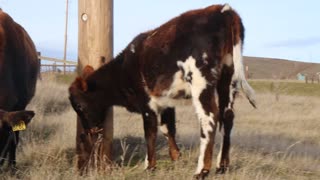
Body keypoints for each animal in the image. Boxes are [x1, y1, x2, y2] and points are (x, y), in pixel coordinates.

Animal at [69, 3, 255, 179]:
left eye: (80, 106)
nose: (89, 131)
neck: (123, 69)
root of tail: (223, 9)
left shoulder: (146, 102)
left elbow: (150, 132)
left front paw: (149, 167)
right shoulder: (166, 100)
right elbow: (167, 128)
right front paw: (176, 157)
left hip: (200, 80)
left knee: (209, 118)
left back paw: (201, 171)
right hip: (229, 78)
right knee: (227, 117)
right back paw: (222, 166)